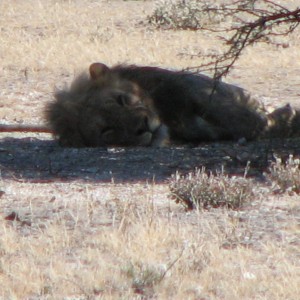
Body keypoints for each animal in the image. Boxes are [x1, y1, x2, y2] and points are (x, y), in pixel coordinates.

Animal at [43, 62, 298, 147]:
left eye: (121, 100)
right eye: (108, 130)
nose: (143, 126)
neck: (167, 116)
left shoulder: (189, 86)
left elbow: (228, 111)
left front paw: (279, 120)